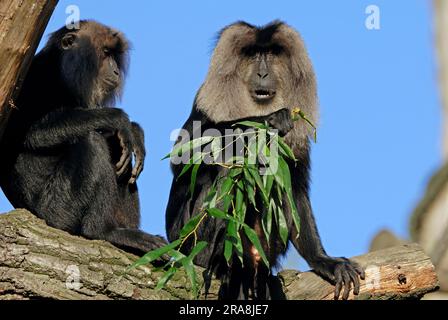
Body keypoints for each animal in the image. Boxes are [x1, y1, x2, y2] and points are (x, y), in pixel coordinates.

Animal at [0, 20, 167, 255]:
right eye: (105, 53)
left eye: (114, 55)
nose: (116, 71)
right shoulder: (36, 76)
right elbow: (28, 133)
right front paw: (120, 119)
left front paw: (135, 131)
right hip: (56, 212)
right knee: (91, 141)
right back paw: (103, 231)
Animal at [166, 21, 366, 298]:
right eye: (251, 54)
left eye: (271, 53)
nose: (262, 73)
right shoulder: (203, 103)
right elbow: (184, 157)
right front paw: (270, 121)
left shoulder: (297, 143)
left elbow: (294, 188)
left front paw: (323, 260)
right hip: (191, 242)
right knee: (228, 172)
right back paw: (225, 267)